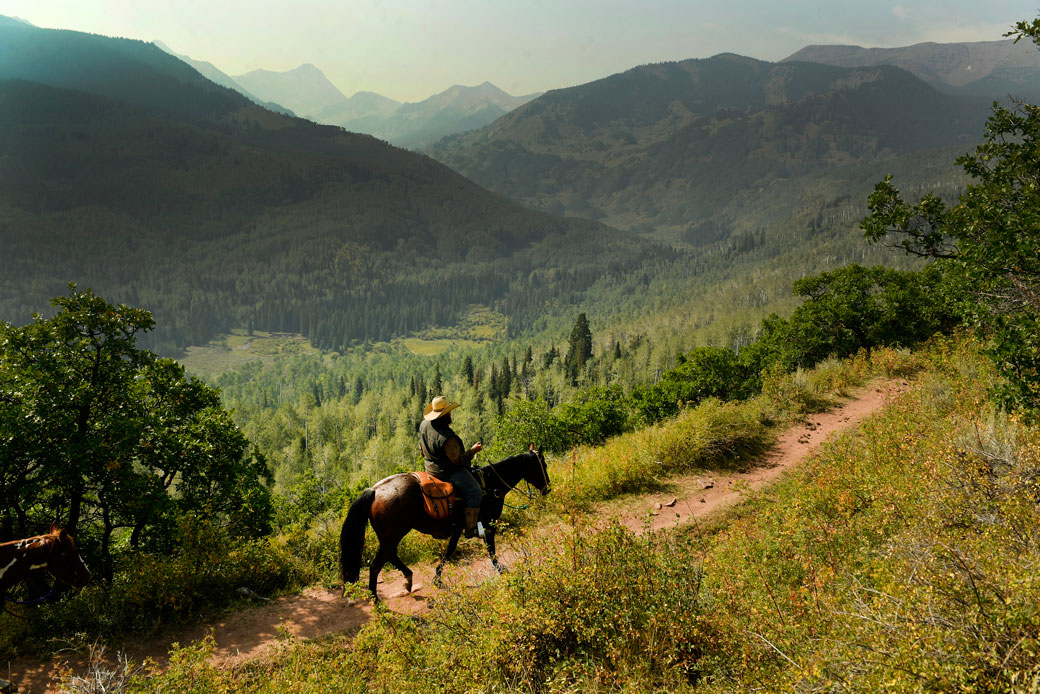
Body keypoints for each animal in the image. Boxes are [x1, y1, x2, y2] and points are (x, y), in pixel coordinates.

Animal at [341, 447, 553, 599]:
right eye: (542, 465)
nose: (547, 489)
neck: (492, 483)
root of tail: (375, 490)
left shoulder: (459, 529)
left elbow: (450, 551)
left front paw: (437, 578)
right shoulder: (488, 524)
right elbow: (490, 549)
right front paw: (500, 569)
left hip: (390, 536)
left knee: (390, 556)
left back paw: (408, 580)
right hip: (393, 535)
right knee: (376, 565)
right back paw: (376, 600)